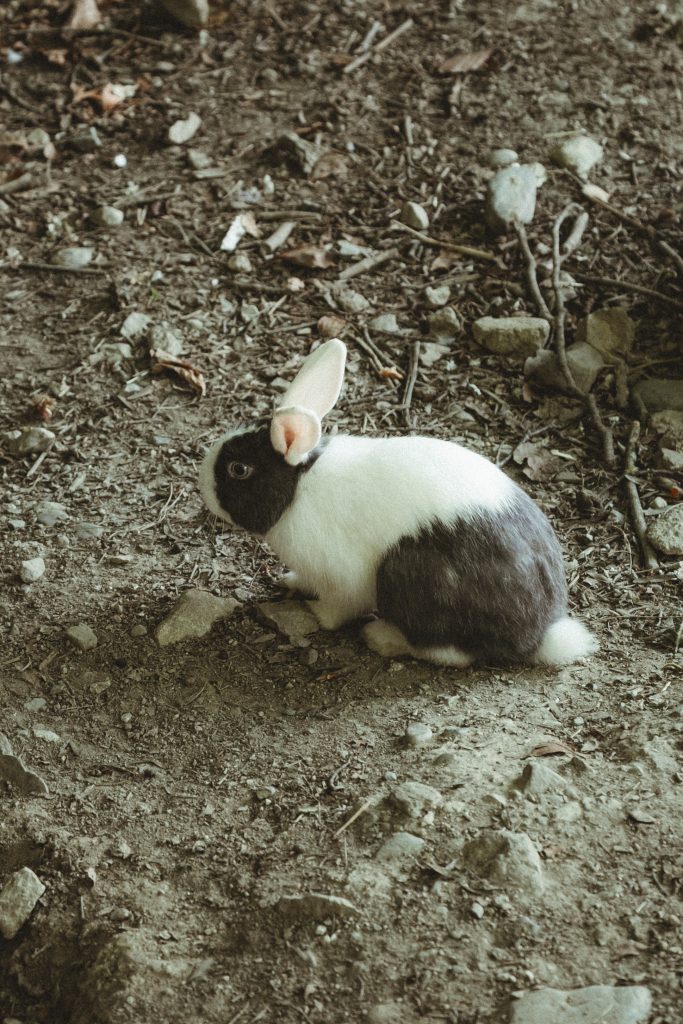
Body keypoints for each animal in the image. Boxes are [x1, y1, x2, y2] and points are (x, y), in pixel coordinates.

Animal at [199, 338, 598, 667]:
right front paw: (290, 581)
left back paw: (383, 638)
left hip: (411, 580)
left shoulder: (343, 576)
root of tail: (540, 636)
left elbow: (338, 609)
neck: (298, 488)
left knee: (450, 652)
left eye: (238, 469)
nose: (202, 486)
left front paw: (312, 612)